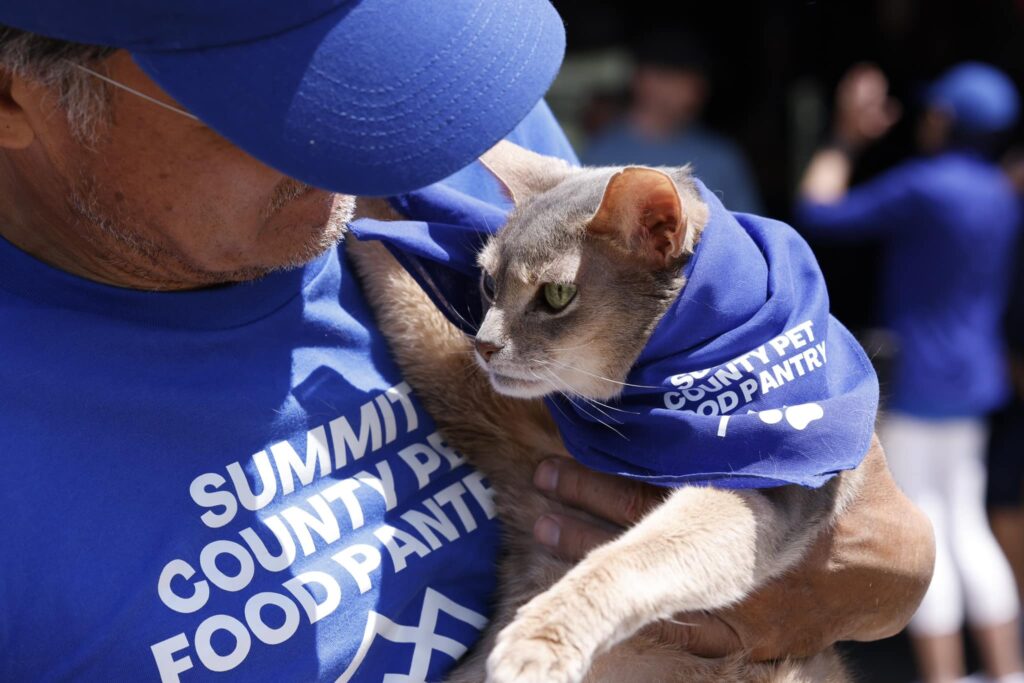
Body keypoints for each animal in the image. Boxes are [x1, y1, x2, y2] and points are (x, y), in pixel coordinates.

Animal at [348, 140, 860, 683]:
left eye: (556, 295)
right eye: (488, 283)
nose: (484, 346)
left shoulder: (765, 491)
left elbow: (642, 554)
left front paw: (541, 638)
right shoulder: (488, 417)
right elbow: (401, 291)